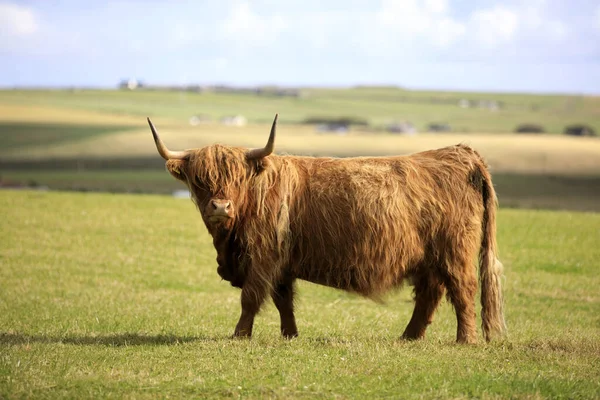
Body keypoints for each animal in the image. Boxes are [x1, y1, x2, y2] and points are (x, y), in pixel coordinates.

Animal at [146, 115, 506, 344]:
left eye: (238, 178)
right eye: (199, 180)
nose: (220, 207)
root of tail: (460, 152)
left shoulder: (263, 255)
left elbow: (250, 297)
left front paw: (239, 335)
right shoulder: (281, 262)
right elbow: (283, 300)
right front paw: (290, 335)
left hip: (455, 251)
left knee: (463, 290)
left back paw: (466, 340)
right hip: (429, 259)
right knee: (430, 295)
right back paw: (408, 337)